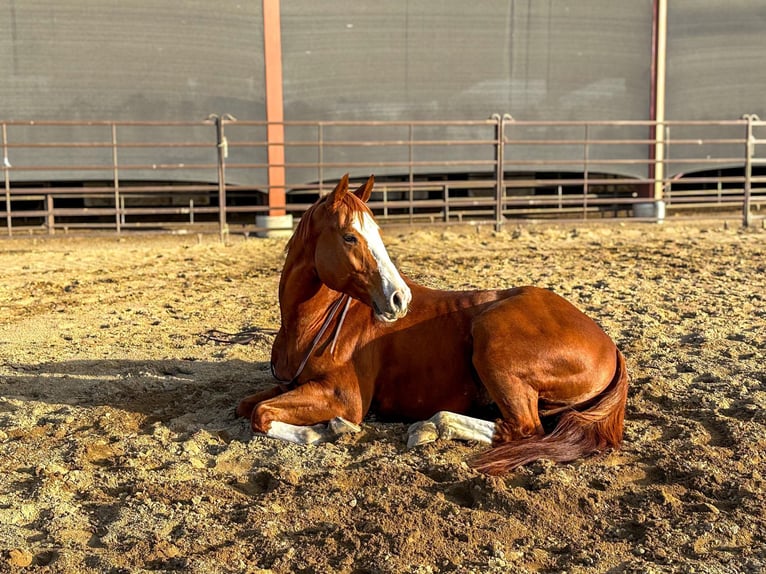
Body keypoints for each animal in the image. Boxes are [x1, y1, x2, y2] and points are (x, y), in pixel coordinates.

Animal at [236, 176, 632, 476]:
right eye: (350, 236)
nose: (400, 298)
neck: (315, 324)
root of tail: (611, 347)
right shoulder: (291, 384)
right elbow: (246, 405)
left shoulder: (343, 398)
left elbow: (261, 414)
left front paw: (327, 429)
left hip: (492, 342)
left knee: (522, 429)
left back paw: (429, 427)